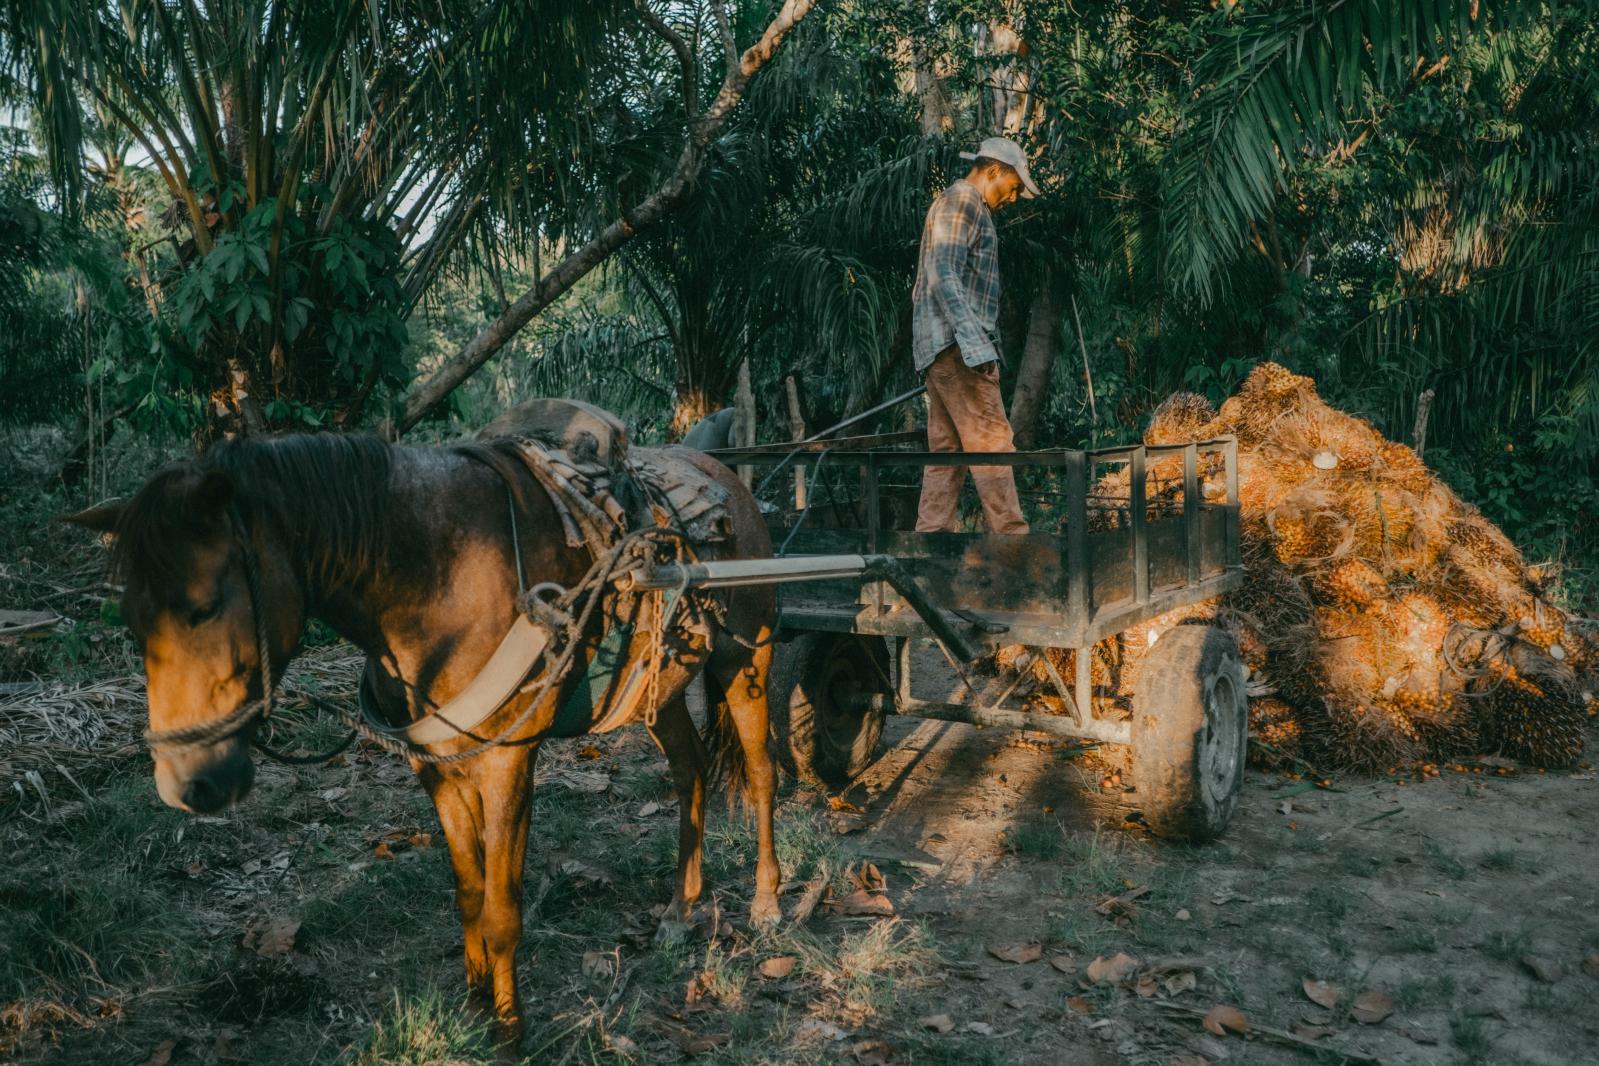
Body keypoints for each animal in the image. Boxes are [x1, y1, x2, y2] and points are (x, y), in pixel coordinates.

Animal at [65, 428, 783, 1048]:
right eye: (132, 621)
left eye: (204, 607)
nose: (187, 785)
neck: (440, 578)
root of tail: (730, 479)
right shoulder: (436, 767)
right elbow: (468, 893)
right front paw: (474, 1004)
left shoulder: (507, 762)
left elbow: (501, 910)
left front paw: (509, 1032)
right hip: (656, 686)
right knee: (690, 770)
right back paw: (680, 912)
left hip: (744, 662)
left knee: (762, 772)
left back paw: (768, 901)